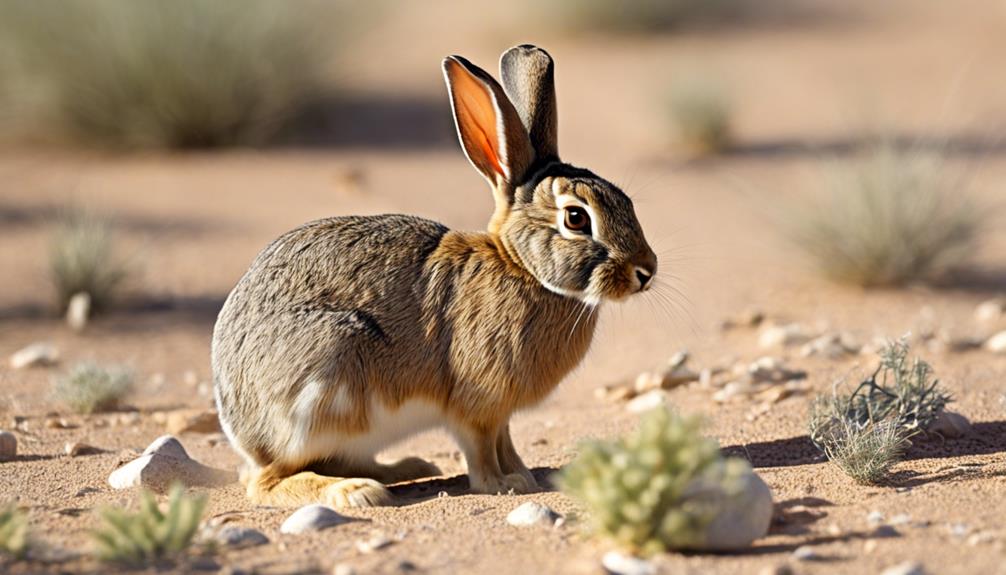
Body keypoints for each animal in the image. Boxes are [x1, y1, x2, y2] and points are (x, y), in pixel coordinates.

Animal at [210, 44, 659, 506]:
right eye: (576, 218)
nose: (646, 270)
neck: (521, 267)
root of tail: (239, 424)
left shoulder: (500, 412)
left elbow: (506, 441)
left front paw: (523, 474)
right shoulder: (476, 405)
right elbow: (482, 448)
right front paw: (503, 485)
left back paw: (409, 467)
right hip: (324, 377)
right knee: (266, 481)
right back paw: (357, 492)